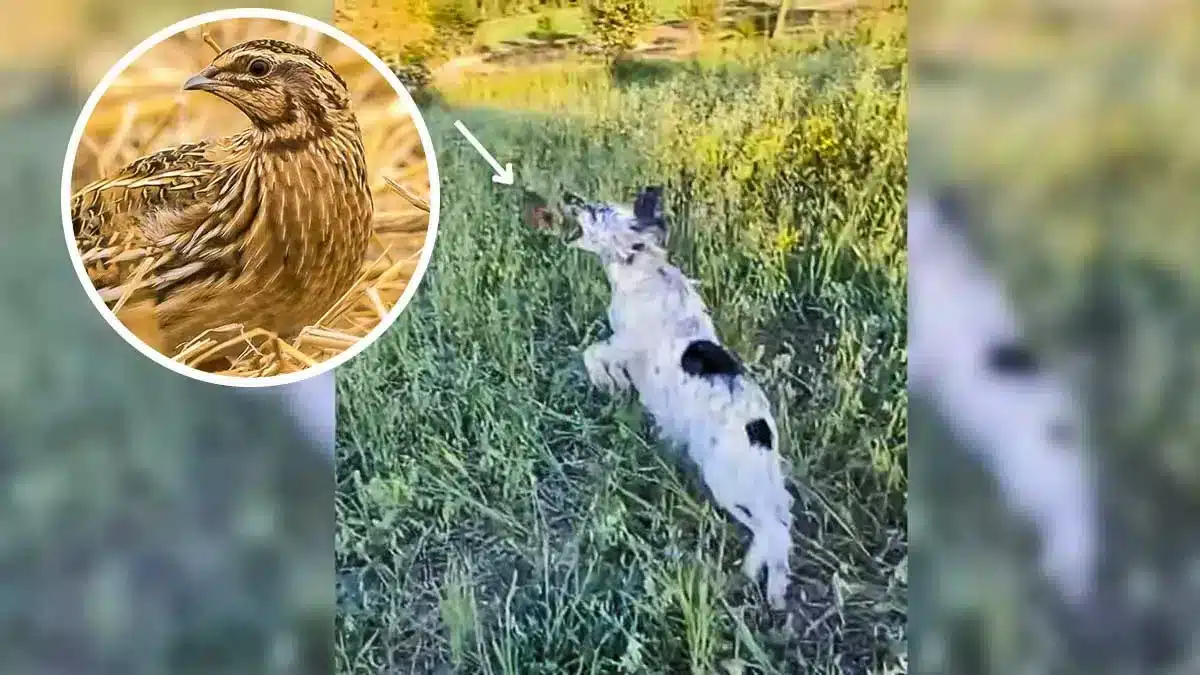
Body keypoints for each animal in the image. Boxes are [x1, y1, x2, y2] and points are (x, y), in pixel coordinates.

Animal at [520, 186, 792, 607]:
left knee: (774, 531)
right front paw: (615, 385)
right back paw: (767, 582)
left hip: (729, 482)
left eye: (595, 210)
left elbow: (593, 353)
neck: (640, 268)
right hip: (757, 487)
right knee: (781, 529)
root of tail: (760, 430)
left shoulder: (625, 342)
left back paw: (762, 582)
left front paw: (606, 383)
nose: (568, 195)